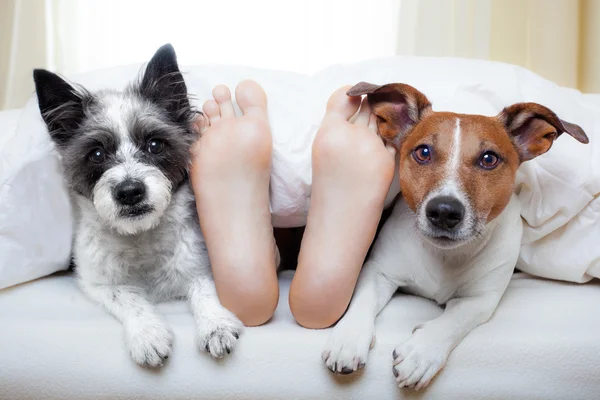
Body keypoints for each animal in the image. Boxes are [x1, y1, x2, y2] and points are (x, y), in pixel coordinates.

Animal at [32, 44, 243, 368]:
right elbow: (129, 298)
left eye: (155, 145)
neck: (140, 237)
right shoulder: (98, 284)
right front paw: (147, 334)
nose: (130, 192)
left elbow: (204, 287)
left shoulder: (198, 266)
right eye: (96, 154)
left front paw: (215, 324)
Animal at [322, 82, 588, 390]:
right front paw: (348, 339)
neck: (445, 255)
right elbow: (362, 300)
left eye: (489, 159)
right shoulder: (378, 272)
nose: (444, 211)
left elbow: (452, 320)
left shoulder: (481, 299)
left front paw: (422, 352)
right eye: (423, 152)